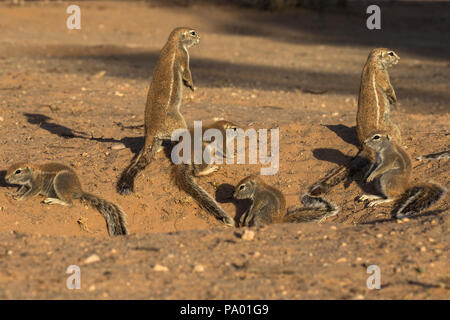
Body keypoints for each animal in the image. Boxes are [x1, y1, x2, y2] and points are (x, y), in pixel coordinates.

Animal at [117, 28, 200, 195]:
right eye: (193, 33)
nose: (199, 38)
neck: (173, 42)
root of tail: (150, 131)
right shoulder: (183, 55)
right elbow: (187, 73)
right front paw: (191, 86)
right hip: (177, 121)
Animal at [310, 47, 400, 195]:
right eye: (391, 53)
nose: (399, 59)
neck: (372, 62)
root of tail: (365, 146)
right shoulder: (383, 75)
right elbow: (389, 88)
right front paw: (394, 99)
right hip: (393, 128)